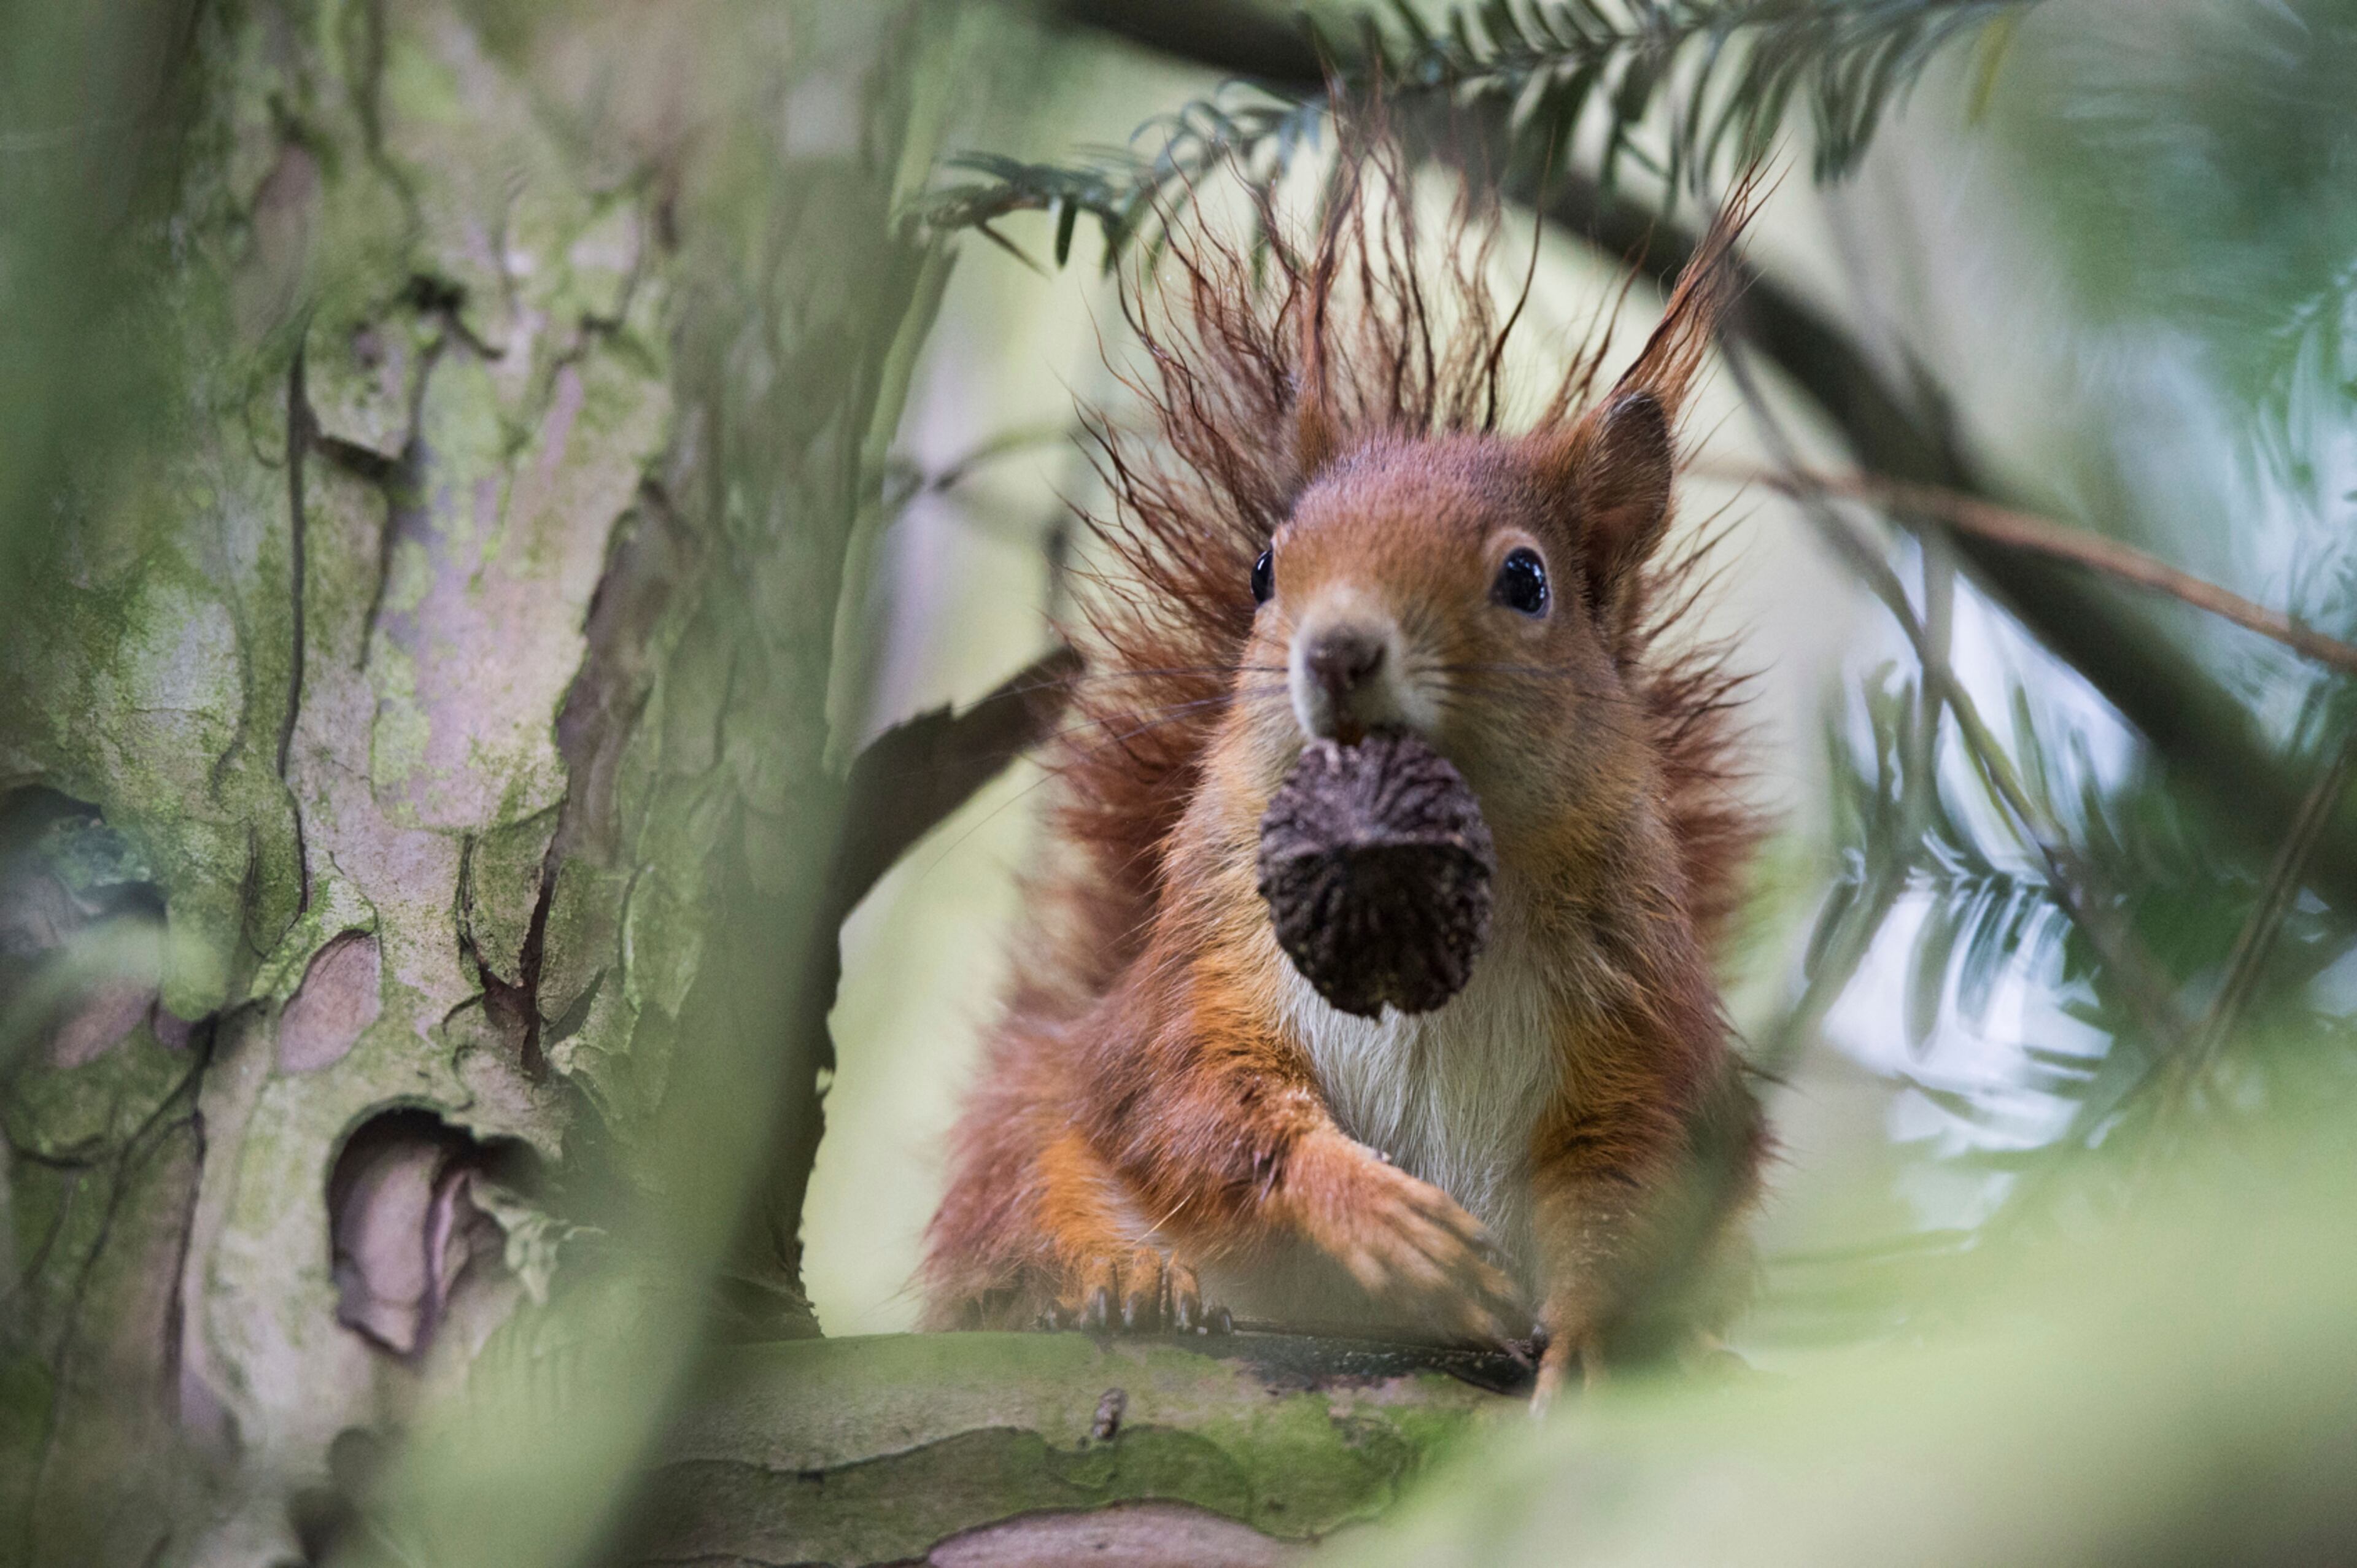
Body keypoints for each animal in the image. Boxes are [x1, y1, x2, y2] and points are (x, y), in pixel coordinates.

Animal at [921, 133, 1768, 1406]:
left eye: (1527, 580)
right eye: (1266, 568)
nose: (1339, 649)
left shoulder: (1639, 1021)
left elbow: (1624, 1178)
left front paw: (1598, 1334)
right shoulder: (1205, 969)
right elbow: (1192, 1102)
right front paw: (1375, 1218)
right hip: (1032, 1118)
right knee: (1030, 1191)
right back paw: (1117, 1276)